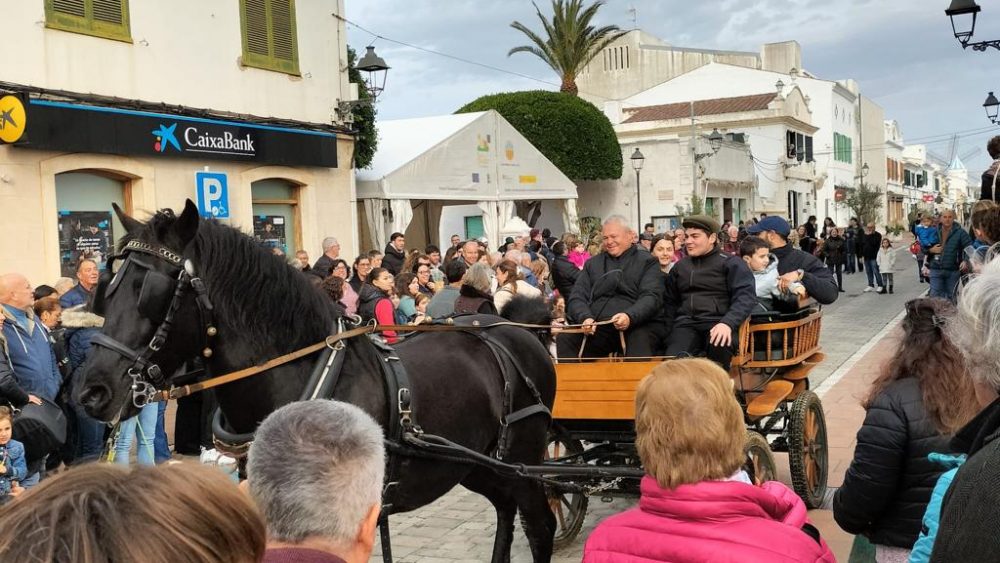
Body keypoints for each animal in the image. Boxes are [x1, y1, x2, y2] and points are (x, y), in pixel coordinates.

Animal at [78, 200, 560, 560]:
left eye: (150, 291)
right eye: (107, 288)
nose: (92, 391)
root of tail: (519, 329)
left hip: (522, 458)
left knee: (539, 525)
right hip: (477, 463)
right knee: (504, 510)